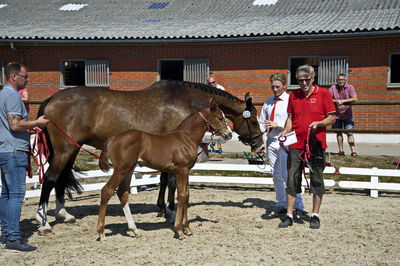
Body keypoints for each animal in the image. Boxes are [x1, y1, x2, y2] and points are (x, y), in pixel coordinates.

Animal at [96, 98, 231, 240]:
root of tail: (112, 139)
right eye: (220, 117)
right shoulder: (181, 170)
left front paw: (188, 228)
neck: (186, 137)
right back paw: (101, 232)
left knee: (122, 193)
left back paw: (135, 230)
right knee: (107, 191)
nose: (229, 134)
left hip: (128, 169)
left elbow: (187, 195)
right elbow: (182, 196)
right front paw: (179, 231)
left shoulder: (186, 171)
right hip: (121, 170)